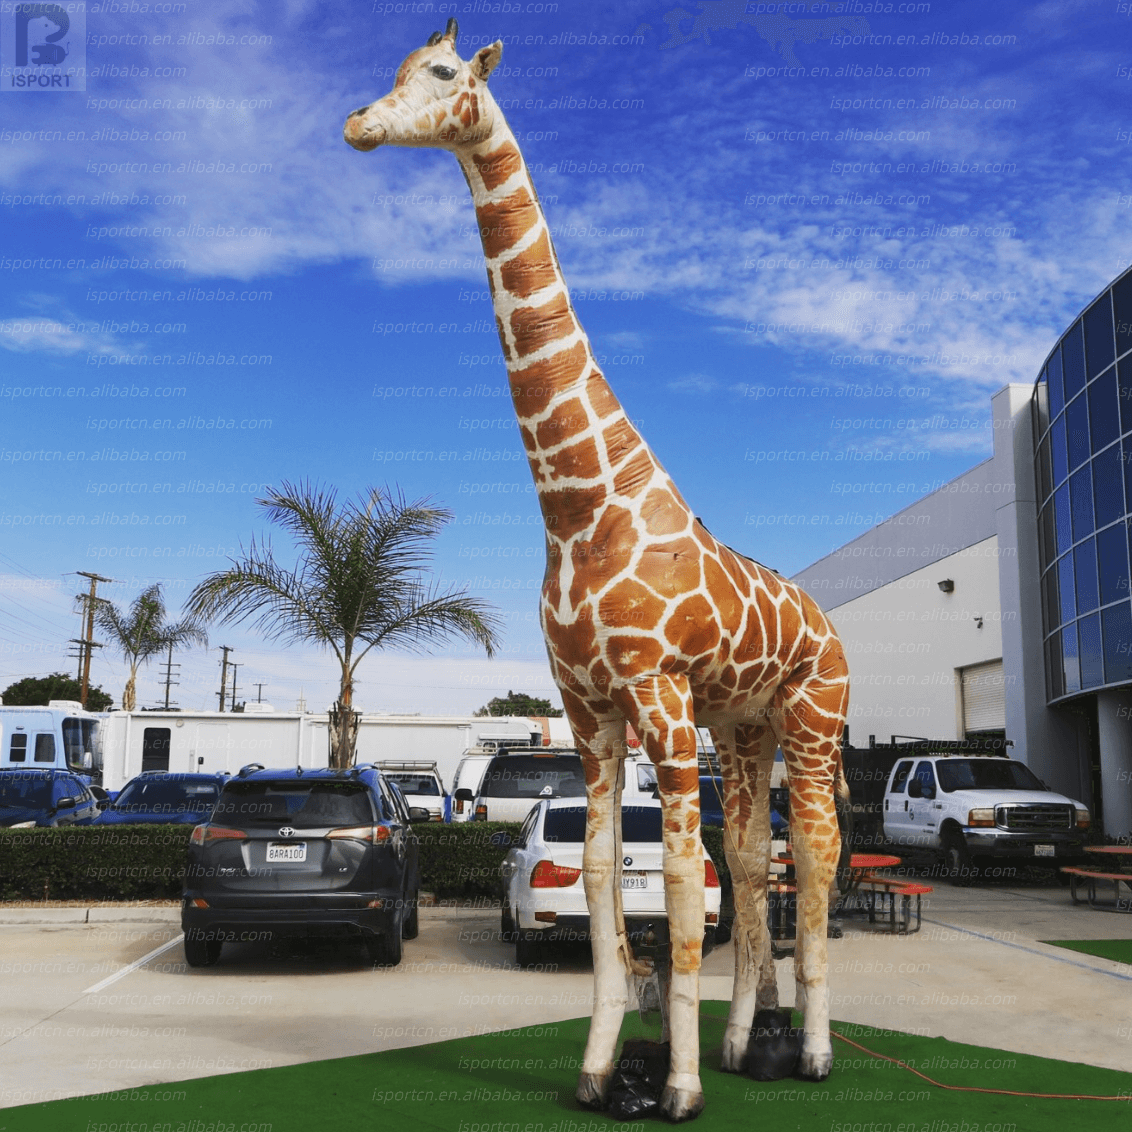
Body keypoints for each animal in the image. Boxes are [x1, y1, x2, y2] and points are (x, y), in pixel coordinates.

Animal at [344, 21, 850, 1122]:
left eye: (439, 74)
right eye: (396, 70)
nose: (357, 122)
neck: (579, 506)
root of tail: (830, 625)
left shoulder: (659, 698)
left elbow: (681, 889)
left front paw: (680, 1089)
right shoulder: (587, 706)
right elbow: (603, 877)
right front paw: (600, 1070)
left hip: (812, 725)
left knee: (816, 860)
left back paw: (814, 1053)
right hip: (745, 729)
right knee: (756, 862)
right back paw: (751, 1042)